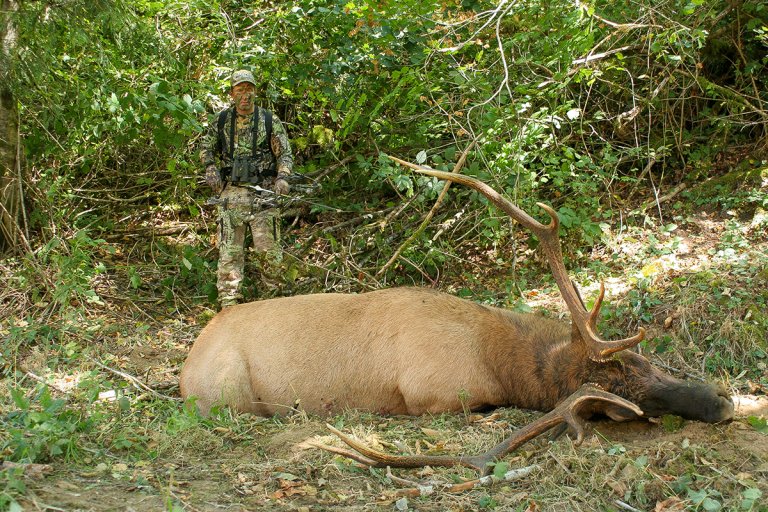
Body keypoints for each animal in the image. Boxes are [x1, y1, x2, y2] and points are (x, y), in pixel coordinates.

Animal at [180, 163, 734, 475]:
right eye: (621, 394)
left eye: (643, 361)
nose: (724, 402)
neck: (496, 357)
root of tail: (185, 365)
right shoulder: (434, 395)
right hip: (227, 394)